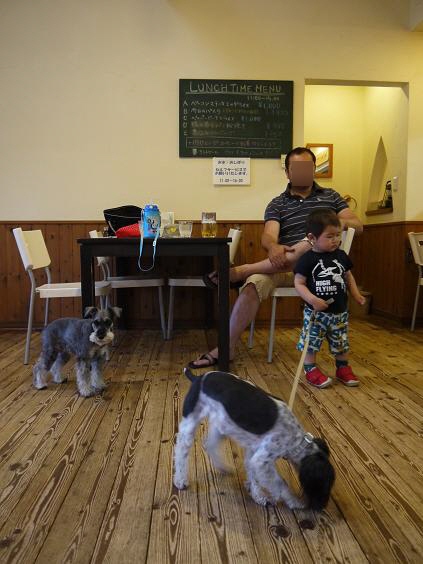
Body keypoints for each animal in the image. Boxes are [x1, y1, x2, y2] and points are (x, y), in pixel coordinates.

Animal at [174, 368, 335, 510]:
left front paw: (257, 494)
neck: (297, 440)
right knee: (181, 450)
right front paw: (294, 501)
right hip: (191, 422)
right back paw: (180, 480)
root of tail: (198, 378)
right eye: (325, 482)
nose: (321, 507)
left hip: (222, 424)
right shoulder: (262, 460)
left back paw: (222, 467)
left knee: (209, 445)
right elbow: (280, 484)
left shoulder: (254, 452)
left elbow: (253, 474)